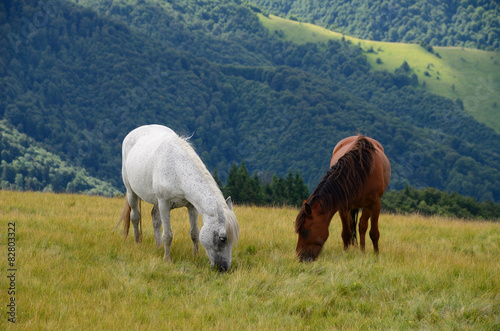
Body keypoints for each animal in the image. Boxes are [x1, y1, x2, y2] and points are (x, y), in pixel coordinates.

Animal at [119, 124, 240, 272]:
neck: (177, 169)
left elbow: (194, 233)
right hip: (131, 192)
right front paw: (167, 260)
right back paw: (138, 243)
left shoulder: (191, 206)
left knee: (155, 218)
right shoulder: (164, 204)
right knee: (135, 216)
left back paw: (158, 247)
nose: (224, 268)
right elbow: (168, 235)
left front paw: (196, 255)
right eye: (222, 238)